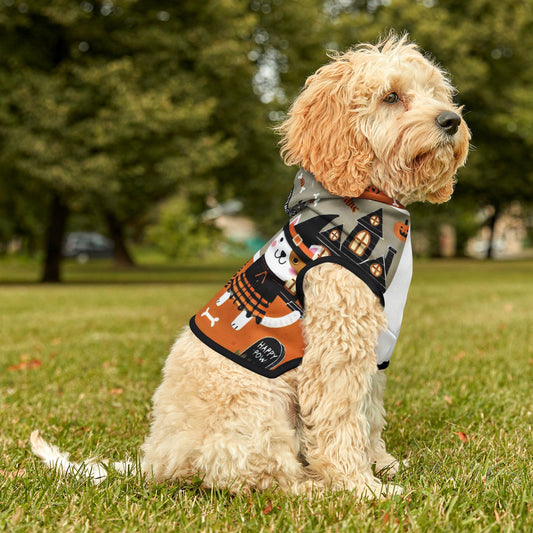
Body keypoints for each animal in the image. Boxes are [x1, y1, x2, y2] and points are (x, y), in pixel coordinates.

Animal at [31, 35, 468, 496]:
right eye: (391, 96)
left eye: (435, 92)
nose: (451, 120)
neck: (361, 205)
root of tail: (156, 460)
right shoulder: (336, 346)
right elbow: (341, 419)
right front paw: (360, 487)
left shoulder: (375, 346)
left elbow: (368, 413)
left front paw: (382, 464)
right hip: (259, 407)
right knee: (258, 475)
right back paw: (313, 486)